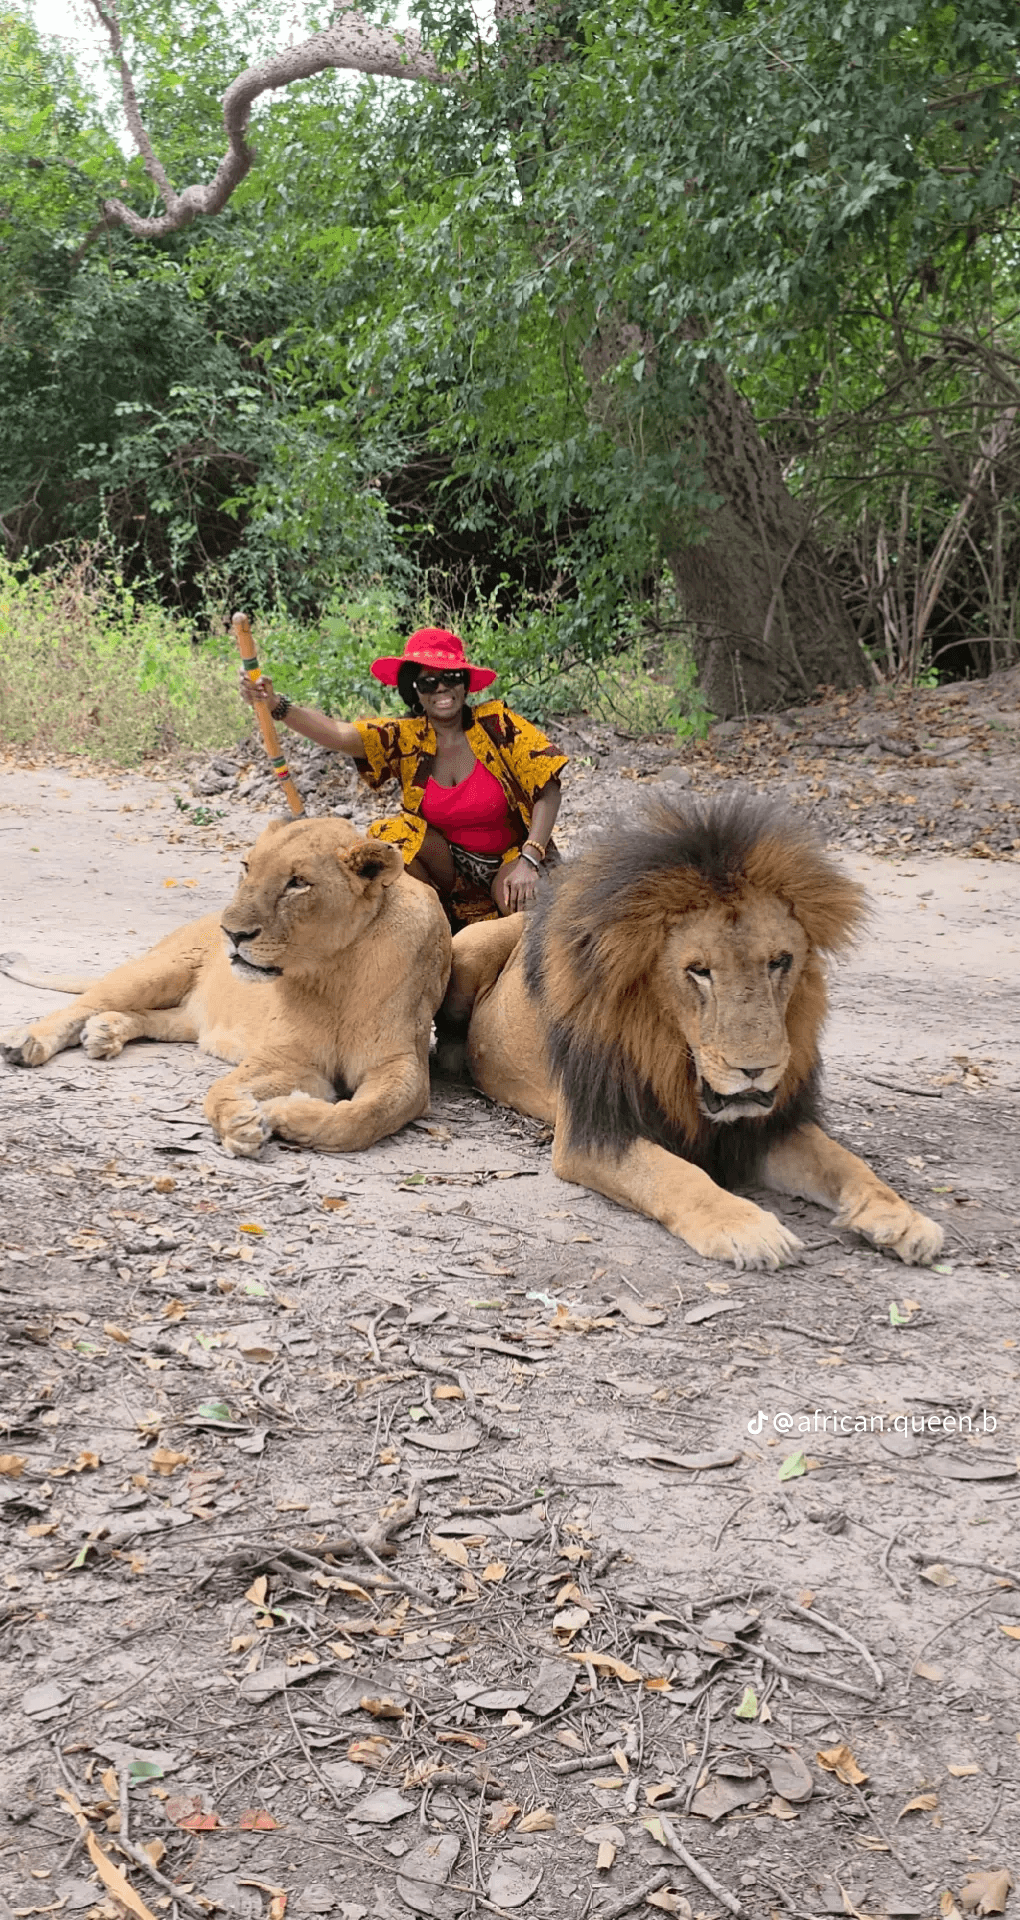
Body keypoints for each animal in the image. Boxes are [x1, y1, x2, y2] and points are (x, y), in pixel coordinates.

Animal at [1, 817, 452, 1158]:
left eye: (298, 883)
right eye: (246, 867)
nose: (231, 933)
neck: (334, 971)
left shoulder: (400, 1064)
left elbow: (364, 1117)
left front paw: (285, 1113)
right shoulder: (285, 1056)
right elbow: (219, 1090)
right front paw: (242, 1122)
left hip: (191, 1017)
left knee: (159, 1019)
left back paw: (105, 1031)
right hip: (160, 969)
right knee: (85, 1003)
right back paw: (26, 1041)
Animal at [439, 794, 943, 1270]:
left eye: (780, 961)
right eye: (699, 971)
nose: (756, 1069)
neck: (676, 1061)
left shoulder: (767, 1127)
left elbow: (844, 1162)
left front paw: (902, 1217)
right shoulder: (593, 1132)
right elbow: (676, 1176)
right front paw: (747, 1228)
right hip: (469, 947)